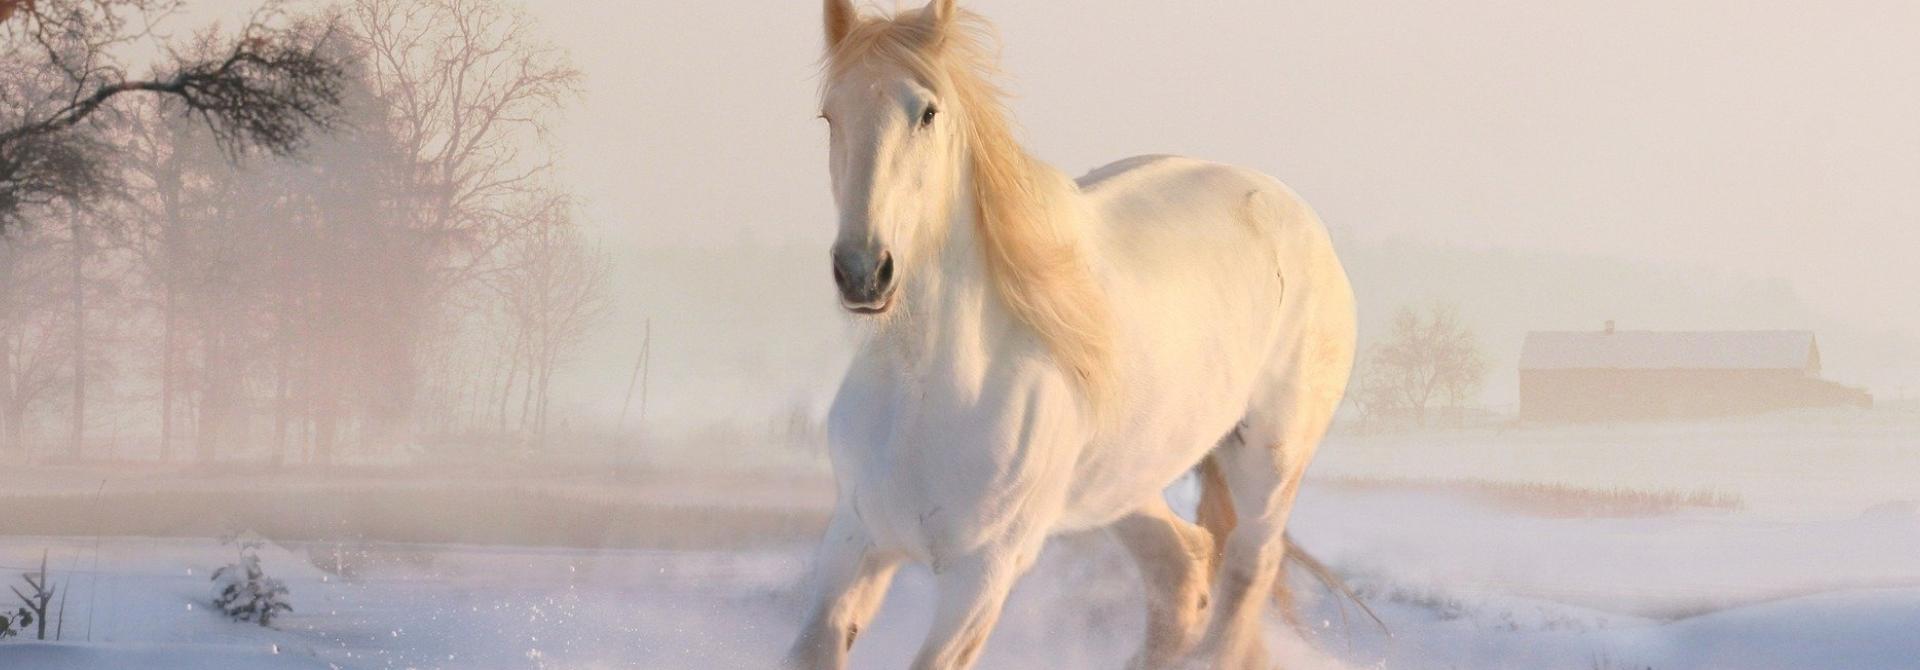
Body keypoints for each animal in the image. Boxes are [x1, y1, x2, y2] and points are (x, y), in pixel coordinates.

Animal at [787, 1, 1357, 668]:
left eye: (926, 112)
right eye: (830, 114)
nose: (862, 271)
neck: (928, 394)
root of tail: (1293, 211)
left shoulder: (982, 576)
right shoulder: (855, 543)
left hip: (1268, 464)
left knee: (1246, 572)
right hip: (1125, 481)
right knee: (1181, 570)